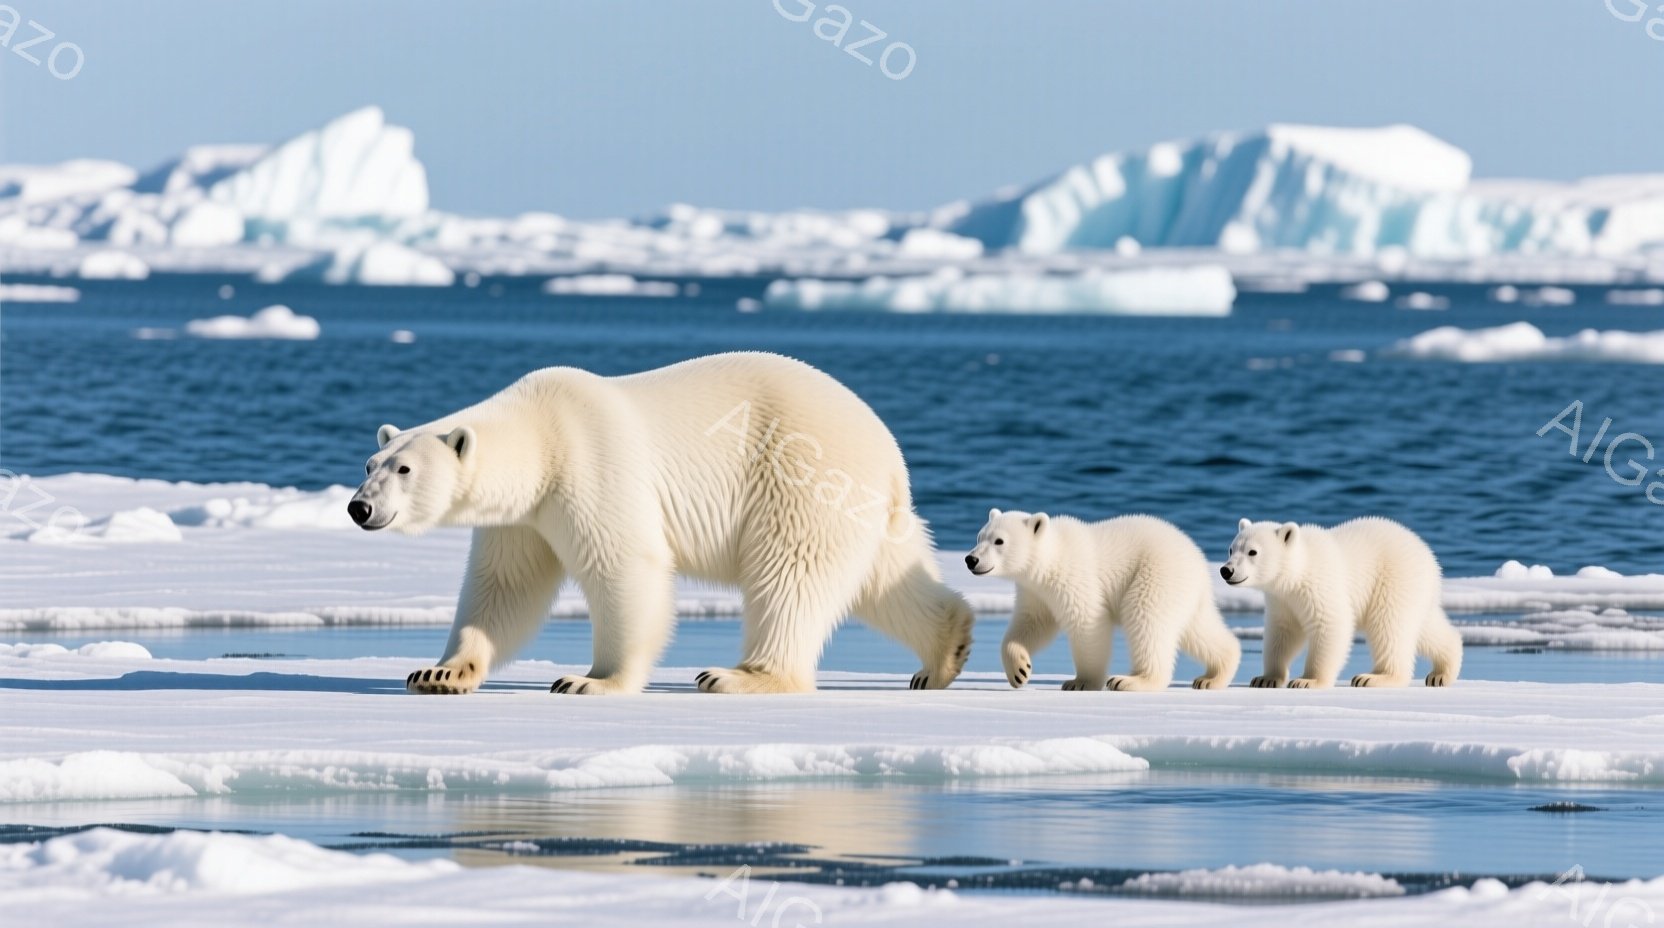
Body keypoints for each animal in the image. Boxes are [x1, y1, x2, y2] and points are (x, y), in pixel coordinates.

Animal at [349, 352, 974, 696]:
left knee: (789, 575)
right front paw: (439, 673)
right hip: (861, 507)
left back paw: (738, 675)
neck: (542, 428)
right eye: (370, 464)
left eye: (405, 468)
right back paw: (945, 652)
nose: (360, 508)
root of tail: (889, 452)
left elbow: (625, 568)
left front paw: (590, 680)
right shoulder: (525, 517)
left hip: (801, 478)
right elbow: (504, 586)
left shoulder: (590, 465)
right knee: (886, 579)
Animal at [964, 510, 1241, 692]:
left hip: (1155, 574)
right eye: (979, 536)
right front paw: (1019, 671)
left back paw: (1131, 680)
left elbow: (1087, 623)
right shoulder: (1035, 591)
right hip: (1186, 593)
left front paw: (1081, 682)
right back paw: (1211, 677)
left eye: (999, 541)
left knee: (1145, 619)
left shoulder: (1073, 576)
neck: (1051, 556)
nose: (970, 559)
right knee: (1199, 629)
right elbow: (1032, 623)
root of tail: (1199, 561)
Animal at [1219, 517, 1463, 688]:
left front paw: (1308, 681)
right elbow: (1282, 633)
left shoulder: (1319, 586)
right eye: (1231, 549)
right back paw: (1441, 672)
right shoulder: (1282, 599)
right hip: (1414, 592)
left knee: (1388, 627)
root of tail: (1429, 558)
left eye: (1252, 552)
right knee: (1424, 628)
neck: (1298, 569)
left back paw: (1373, 677)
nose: (1226, 570)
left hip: (1393, 580)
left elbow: (1330, 625)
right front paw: (1266, 678)